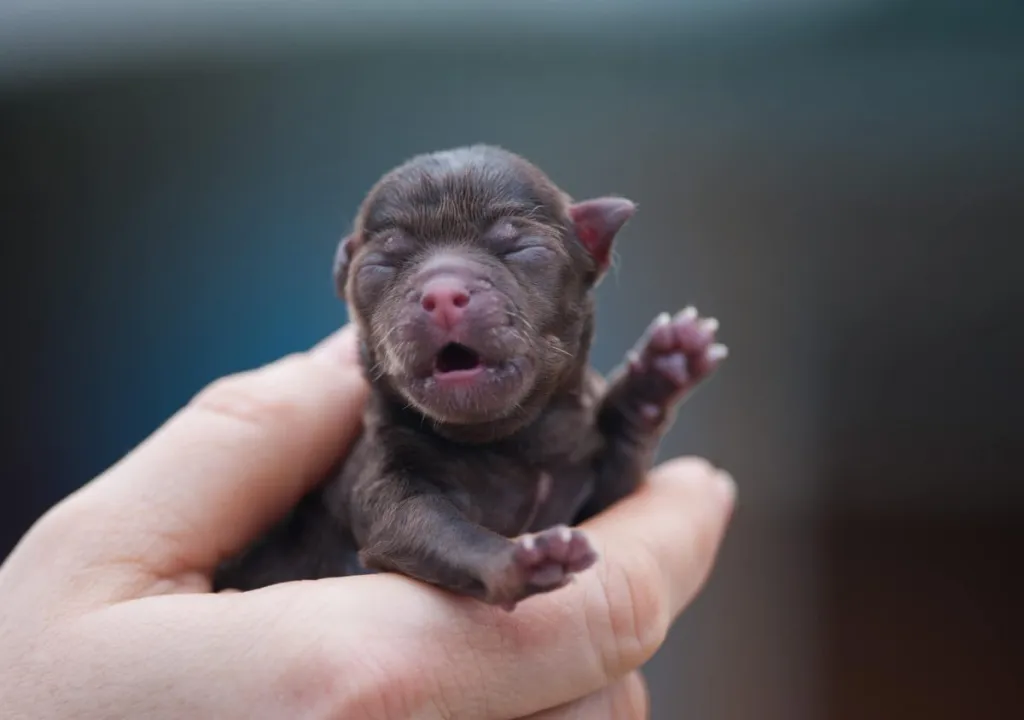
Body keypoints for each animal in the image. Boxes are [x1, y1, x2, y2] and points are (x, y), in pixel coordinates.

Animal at [214, 145, 729, 606]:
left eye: (518, 248)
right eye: (383, 264)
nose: (443, 294)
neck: (506, 445)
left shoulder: (592, 486)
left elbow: (620, 471)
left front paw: (661, 370)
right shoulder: (382, 480)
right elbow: (428, 526)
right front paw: (517, 560)